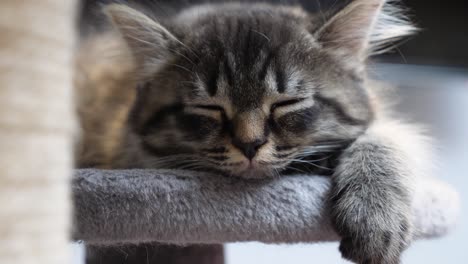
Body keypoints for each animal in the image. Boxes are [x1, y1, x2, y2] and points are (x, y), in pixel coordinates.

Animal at [76, 1, 432, 262]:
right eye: (209, 108)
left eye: (287, 102)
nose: (250, 145)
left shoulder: (388, 125)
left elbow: (379, 144)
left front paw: (374, 215)